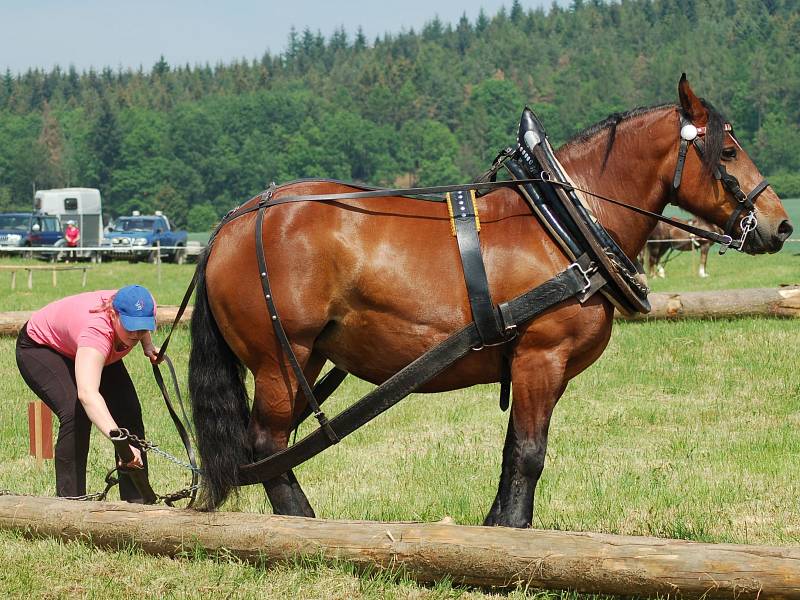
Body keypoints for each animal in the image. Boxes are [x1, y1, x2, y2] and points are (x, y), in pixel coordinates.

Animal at [189, 77, 792, 528]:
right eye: (728, 150)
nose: (781, 225)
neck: (564, 223)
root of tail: (234, 221)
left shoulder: (535, 366)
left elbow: (513, 450)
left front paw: (497, 525)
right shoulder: (542, 356)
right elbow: (529, 453)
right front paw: (517, 532)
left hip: (307, 357)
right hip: (280, 356)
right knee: (266, 443)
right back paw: (303, 523)